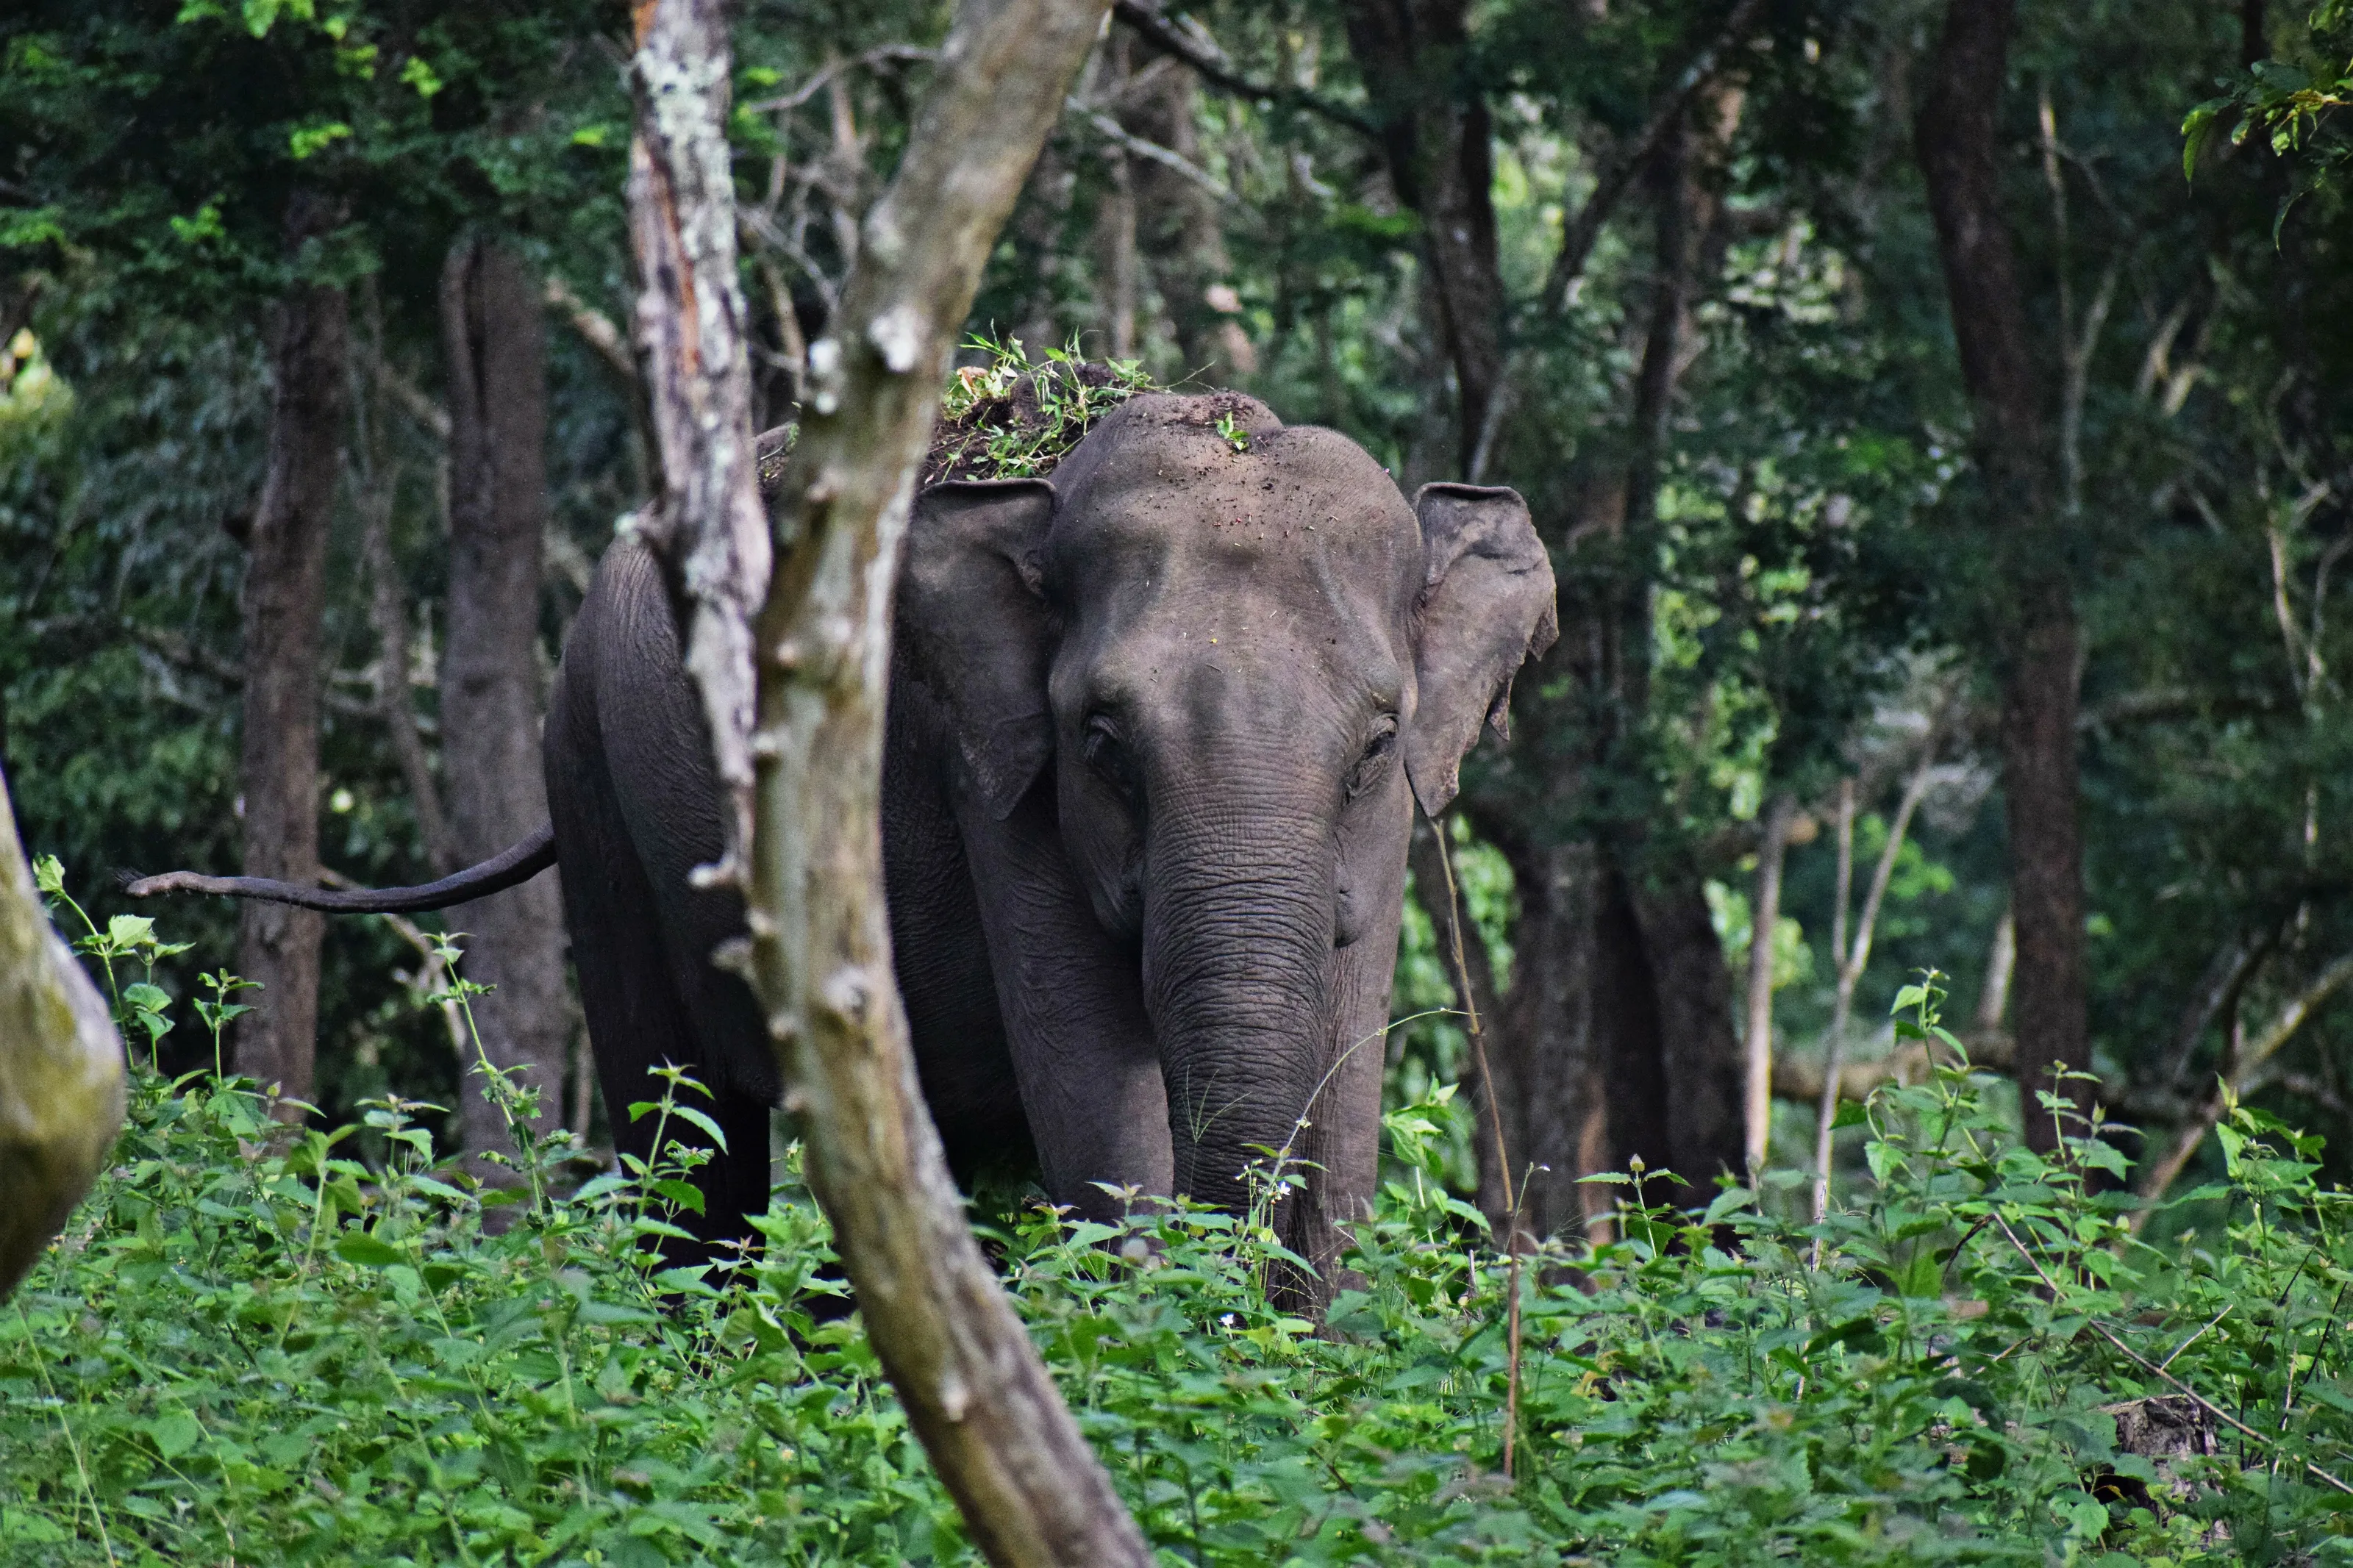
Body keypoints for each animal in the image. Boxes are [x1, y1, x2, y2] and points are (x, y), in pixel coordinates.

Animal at [135, 389, 1556, 1300]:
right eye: (1101, 741)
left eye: (1377, 743)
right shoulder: (995, 788)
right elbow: (1096, 1093)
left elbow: (1349, 1108)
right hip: (592, 787)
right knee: (690, 1156)